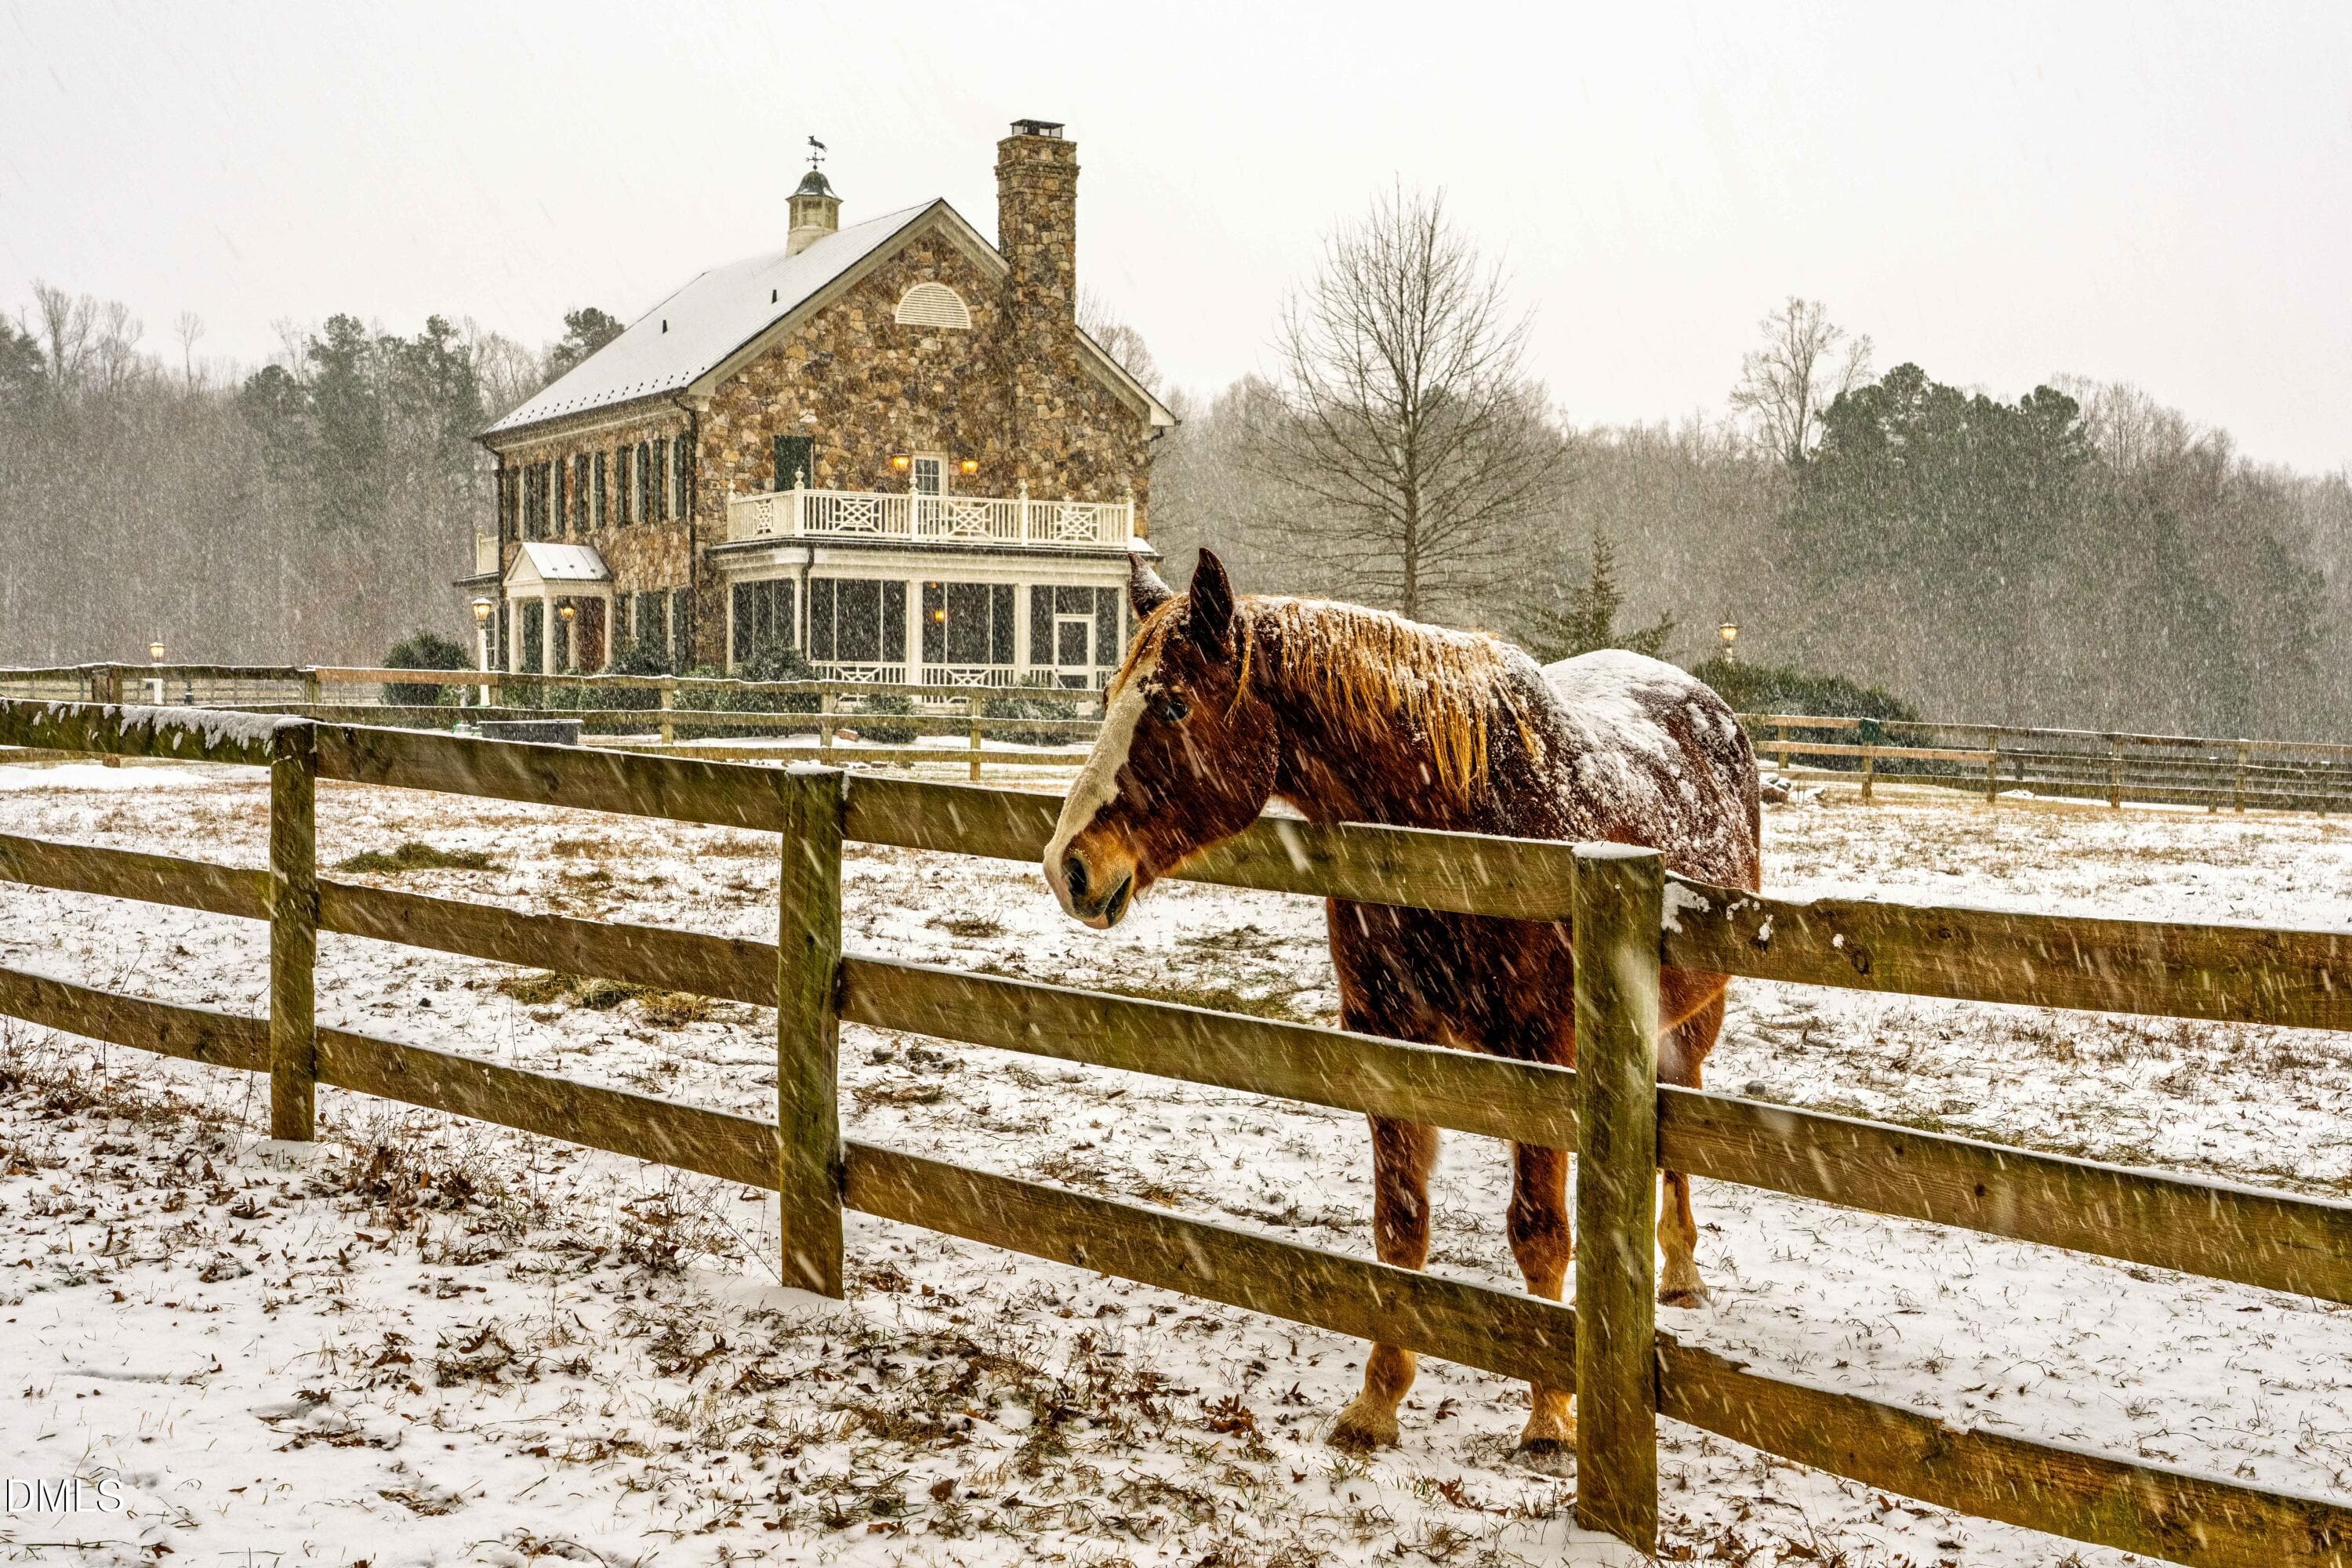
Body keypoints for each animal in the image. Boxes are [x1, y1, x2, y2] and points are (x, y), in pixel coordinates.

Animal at [1043, 548, 1762, 1459]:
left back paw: (1681, 1272)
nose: (1069, 866)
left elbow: (1539, 1231)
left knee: (1679, 1132)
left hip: (1688, 1026)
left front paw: (1551, 1416)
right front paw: (1378, 1400)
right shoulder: (1389, 1043)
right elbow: (1400, 1224)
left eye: (1171, 702)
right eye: (1108, 700)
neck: (1458, 825)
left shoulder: (1545, 1054)